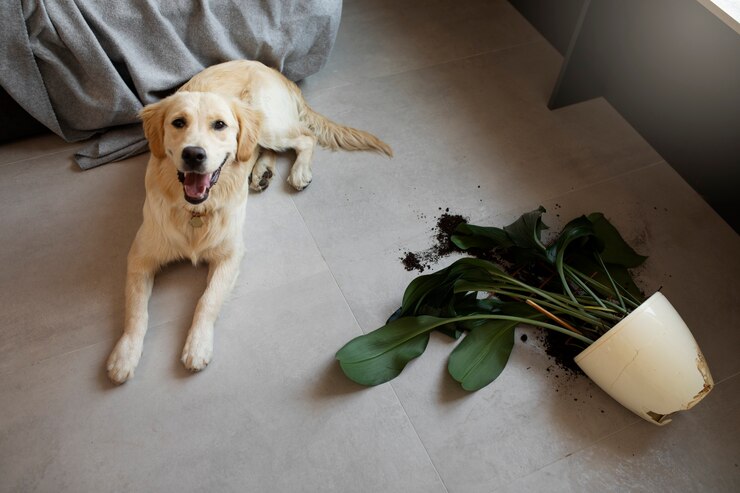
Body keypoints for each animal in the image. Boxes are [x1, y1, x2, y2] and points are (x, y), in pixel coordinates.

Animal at [107, 59, 394, 382]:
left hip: (270, 125)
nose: (193, 155)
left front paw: (198, 346)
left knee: (304, 138)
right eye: (178, 122)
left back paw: (297, 172)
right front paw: (124, 356)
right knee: (260, 149)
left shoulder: (230, 255)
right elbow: (135, 312)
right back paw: (261, 172)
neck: (195, 212)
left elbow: (206, 301)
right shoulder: (140, 258)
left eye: (219, 124)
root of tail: (270, 68)